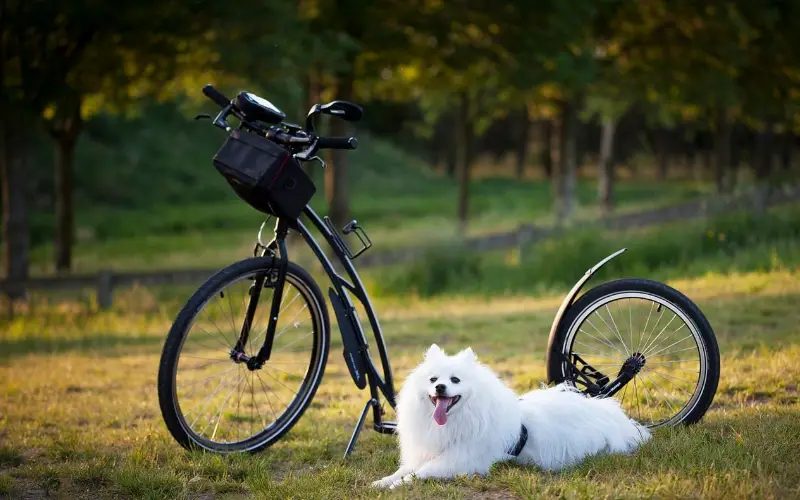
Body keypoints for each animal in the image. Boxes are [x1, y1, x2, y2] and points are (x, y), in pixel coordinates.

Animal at [374, 344, 648, 488]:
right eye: (433, 380)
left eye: (455, 380)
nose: (440, 387)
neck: (456, 421)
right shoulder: (427, 452)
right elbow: (405, 469)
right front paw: (382, 481)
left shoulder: (461, 460)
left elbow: (420, 472)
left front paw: (397, 485)